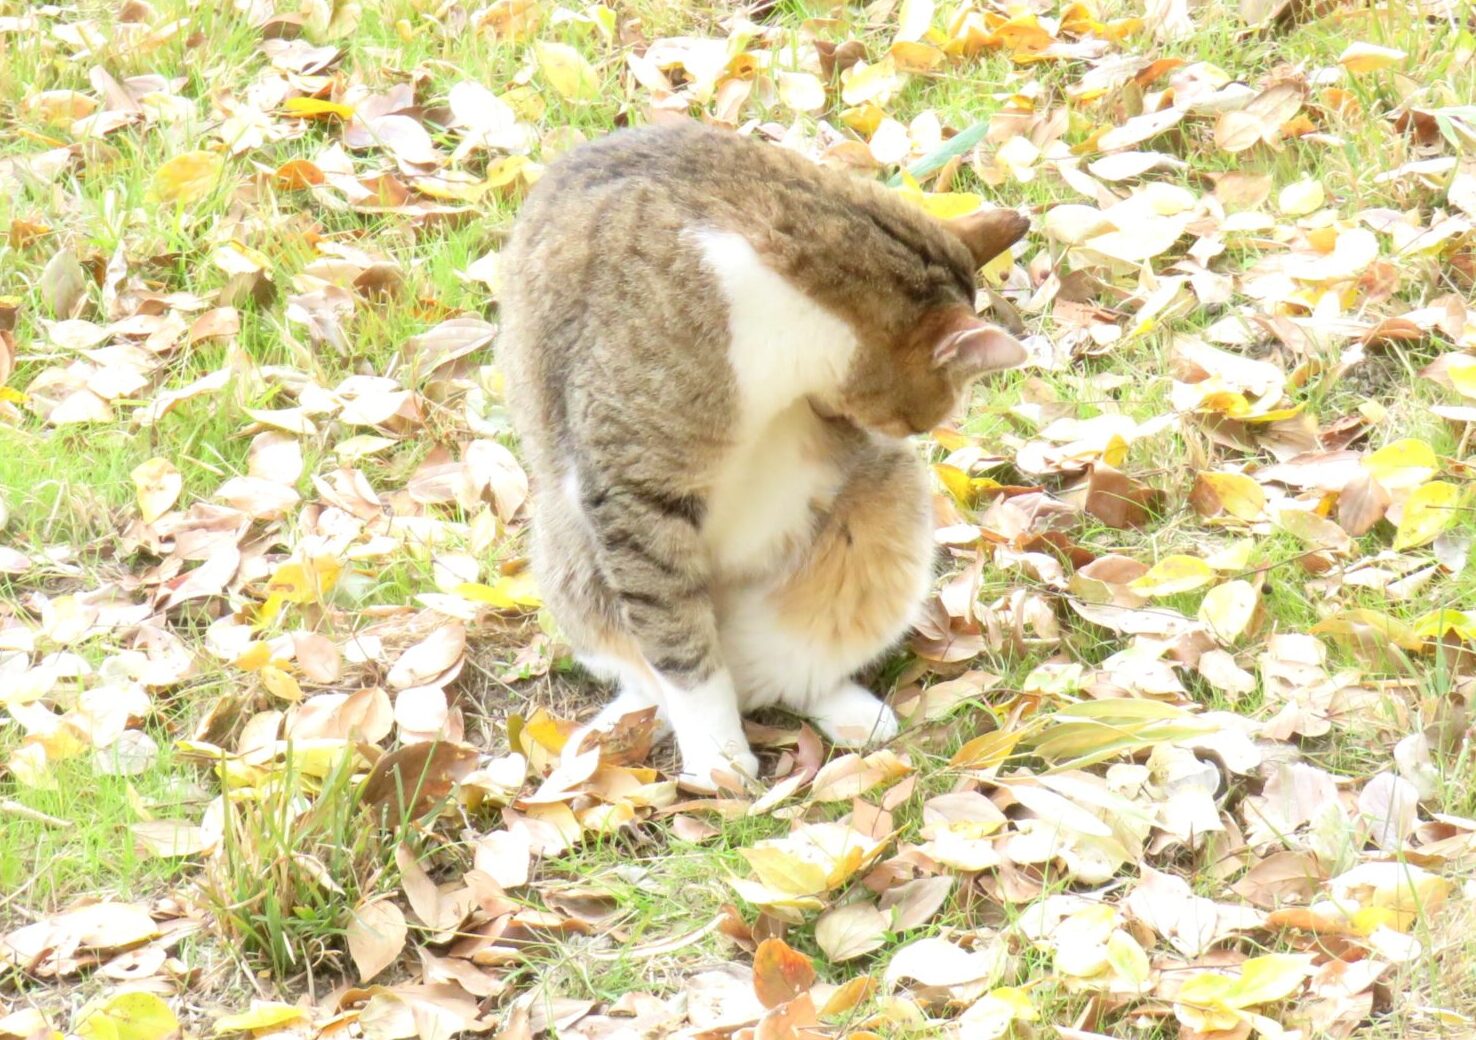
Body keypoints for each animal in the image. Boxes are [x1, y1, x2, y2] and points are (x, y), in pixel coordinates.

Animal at [495, 121, 1027, 784]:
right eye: (921, 414)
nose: (901, 434)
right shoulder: (632, 490)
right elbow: (678, 645)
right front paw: (719, 760)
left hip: (884, 512)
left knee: (792, 667)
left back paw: (848, 712)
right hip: (568, 550)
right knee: (653, 670)